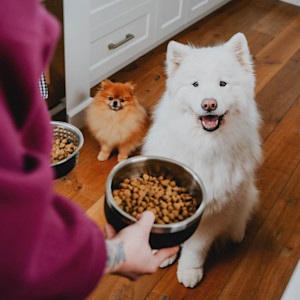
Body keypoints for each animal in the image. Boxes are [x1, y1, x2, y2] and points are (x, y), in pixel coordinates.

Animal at [142, 33, 262, 288]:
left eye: (223, 84)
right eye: (195, 84)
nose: (209, 104)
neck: (204, 145)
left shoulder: (214, 212)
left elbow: (196, 247)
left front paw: (189, 270)